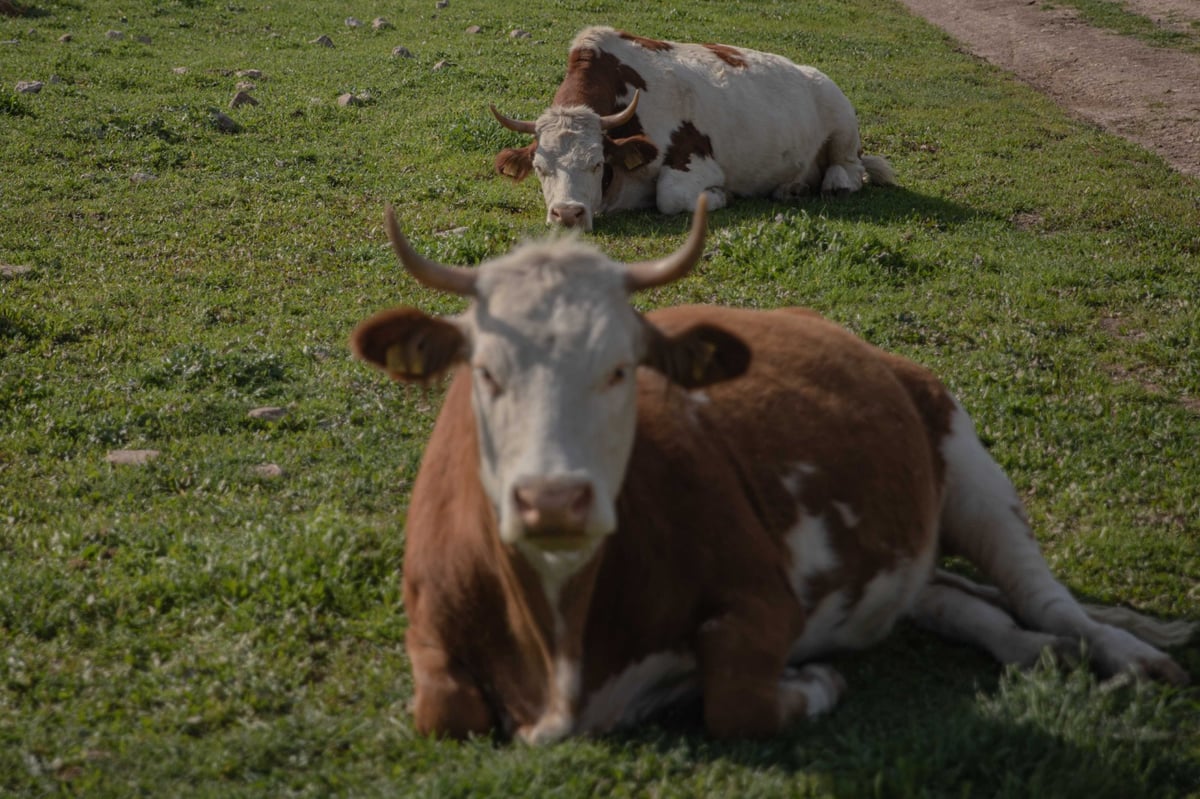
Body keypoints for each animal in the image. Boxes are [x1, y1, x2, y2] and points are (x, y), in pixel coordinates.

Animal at [348, 197, 1190, 739]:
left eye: (621, 369)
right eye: (486, 372)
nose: (553, 499)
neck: (557, 640)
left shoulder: (761, 597)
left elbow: (737, 704)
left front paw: (814, 683)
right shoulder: (428, 629)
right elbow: (443, 713)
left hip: (973, 467)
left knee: (1045, 596)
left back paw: (1127, 654)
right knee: (953, 599)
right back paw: (1032, 652)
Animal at [487, 25, 892, 230]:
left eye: (597, 163)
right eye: (540, 168)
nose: (568, 215)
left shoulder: (694, 161)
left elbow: (671, 197)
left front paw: (721, 197)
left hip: (841, 117)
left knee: (850, 168)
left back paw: (832, 184)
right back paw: (792, 188)